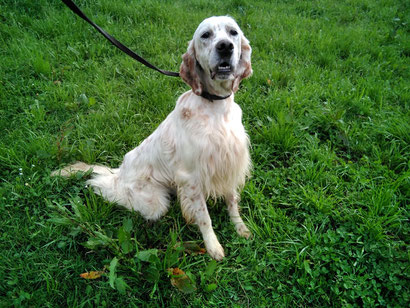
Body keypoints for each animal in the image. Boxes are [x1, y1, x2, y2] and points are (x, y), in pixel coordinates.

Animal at [53, 16, 253, 260]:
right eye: (205, 35)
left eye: (233, 32)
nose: (225, 47)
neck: (215, 109)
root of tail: (121, 171)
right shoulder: (191, 177)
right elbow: (205, 218)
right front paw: (213, 246)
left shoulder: (231, 163)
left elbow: (232, 201)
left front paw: (240, 227)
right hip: (154, 203)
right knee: (106, 187)